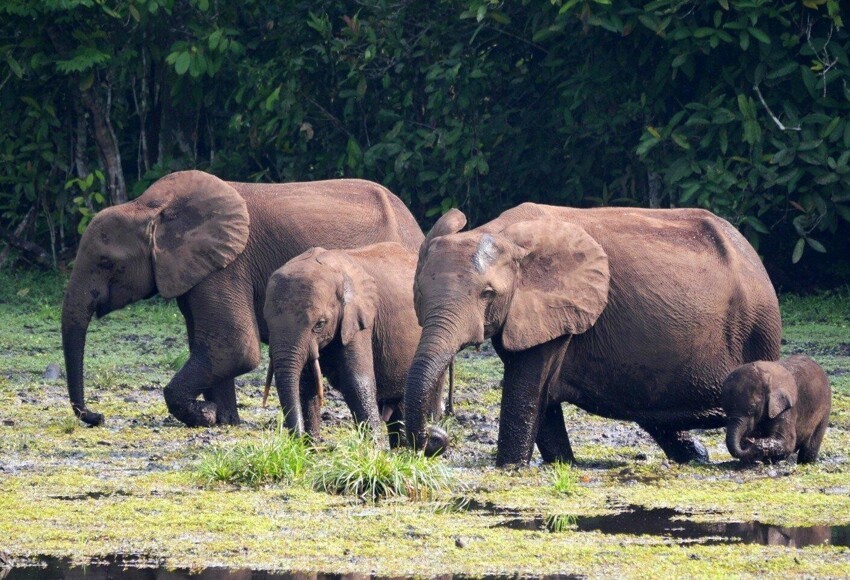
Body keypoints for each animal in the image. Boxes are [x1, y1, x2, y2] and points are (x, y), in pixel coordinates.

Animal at [61, 170, 424, 428]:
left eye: (105, 262)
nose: (96, 417)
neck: (149, 207)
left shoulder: (227, 266)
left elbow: (234, 347)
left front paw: (206, 415)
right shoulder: (198, 271)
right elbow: (212, 346)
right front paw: (224, 419)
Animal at [260, 242, 438, 446]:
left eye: (319, 324)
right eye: (267, 322)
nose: (295, 440)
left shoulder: (358, 320)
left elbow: (356, 381)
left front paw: (373, 449)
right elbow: (306, 385)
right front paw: (309, 449)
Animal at [408, 204, 780, 466]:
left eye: (487, 294)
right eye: (420, 293)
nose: (436, 436)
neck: (503, 233)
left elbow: (526, 389)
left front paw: (509, 467)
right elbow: (540, 398)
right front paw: (563, 465)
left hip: (758, 328)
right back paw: (697, 457)